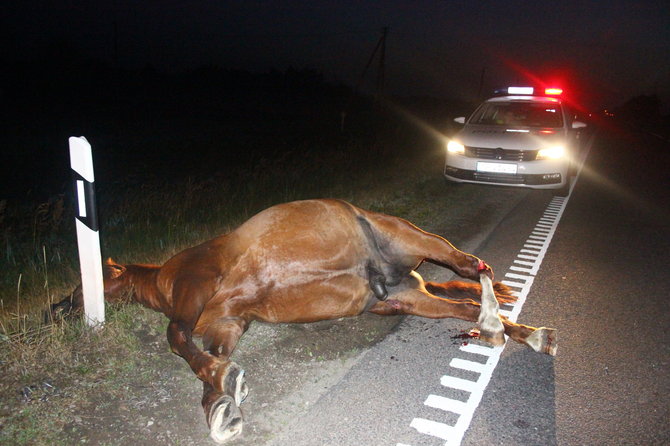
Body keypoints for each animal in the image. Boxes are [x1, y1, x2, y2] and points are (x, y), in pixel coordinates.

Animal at [50, 200, 560, 444]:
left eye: (82, 286)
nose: (57, 312)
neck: (167, 278)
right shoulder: (229, 323)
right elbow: (212, 359)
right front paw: (221, 400)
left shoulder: (195, 289)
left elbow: (176, 337)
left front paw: (218, 384)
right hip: (405, 301)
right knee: (464, 305)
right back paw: (522, 332)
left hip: (423, 242)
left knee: (472, 266)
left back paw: (499, 314)